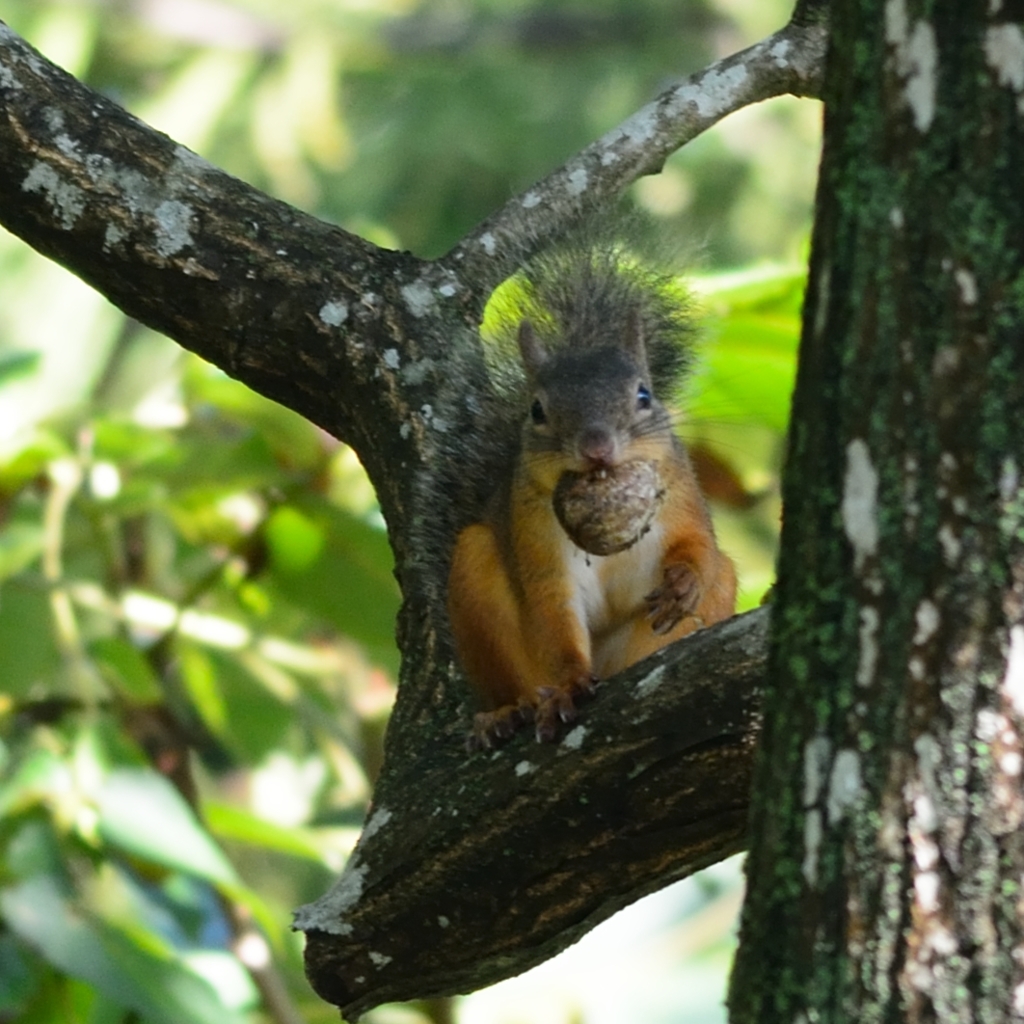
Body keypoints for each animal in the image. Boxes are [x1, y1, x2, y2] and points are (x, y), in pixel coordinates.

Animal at [446, 234, 737, 745]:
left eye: (644, 395)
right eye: (537, 410)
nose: (597, 448)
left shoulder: (681, 492)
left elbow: (697, 543)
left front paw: (684, 582)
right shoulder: (535, 532)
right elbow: (554, 608)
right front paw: (569, 685)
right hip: (474, 575)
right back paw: (507, 712)